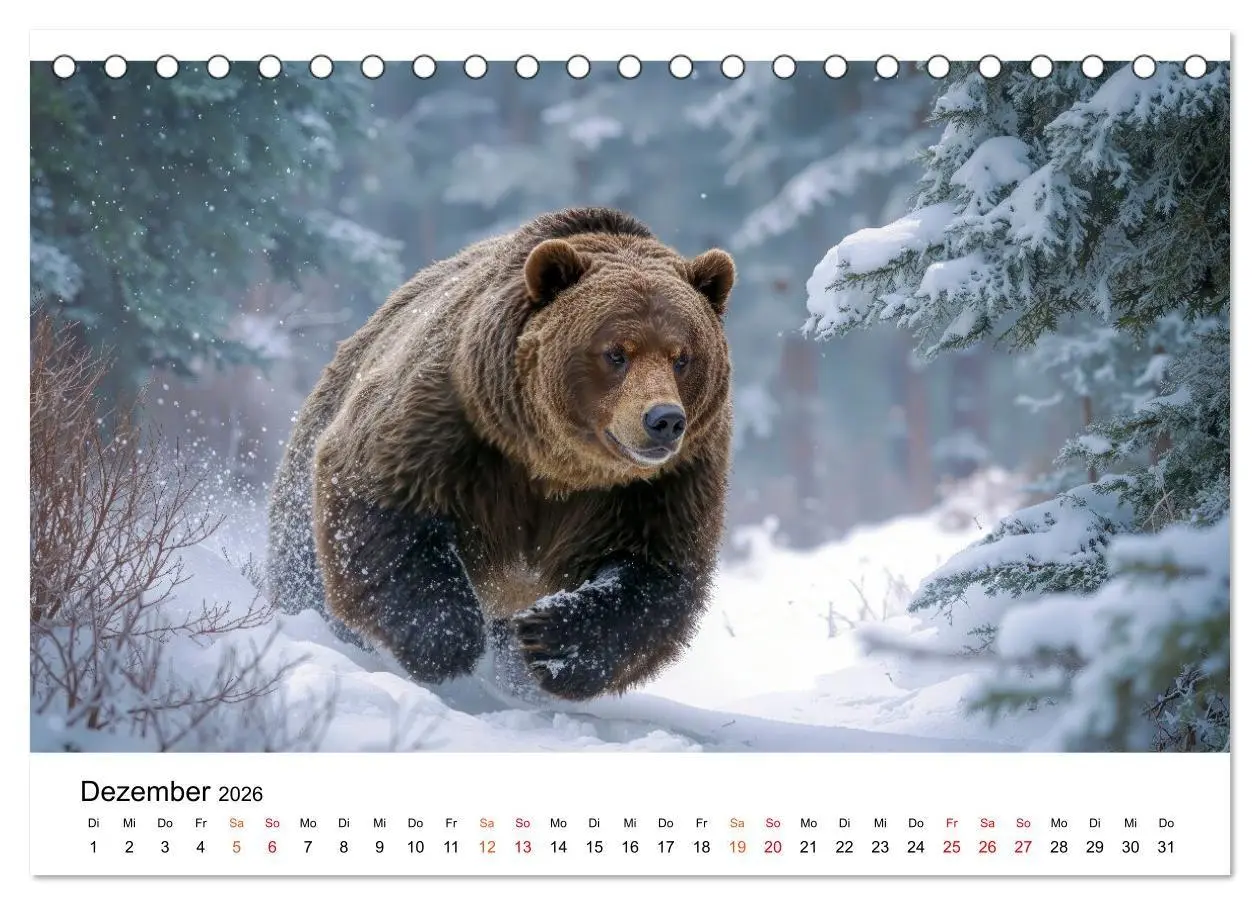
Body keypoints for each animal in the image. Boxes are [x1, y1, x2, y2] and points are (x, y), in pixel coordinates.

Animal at [266, 207, 736, 701]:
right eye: (616, 352)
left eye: (682, 356)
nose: (664, 419)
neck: (558, 465)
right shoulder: (455, 422)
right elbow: (383, 499)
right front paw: (447, 638)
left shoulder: (660, 484)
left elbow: (655, 572)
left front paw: (548, 639)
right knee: (304, 567)